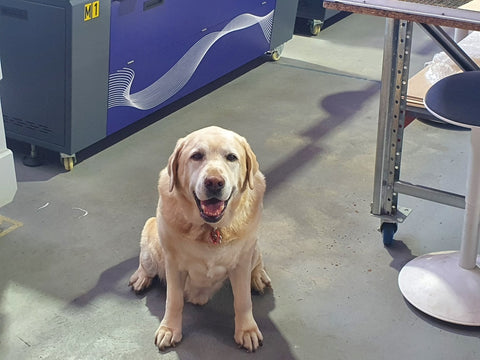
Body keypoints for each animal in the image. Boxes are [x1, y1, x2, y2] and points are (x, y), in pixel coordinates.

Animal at [129, 126, 272, 352]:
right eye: (196, 156)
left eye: (231, 157)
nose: (214, 182)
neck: (211, 229)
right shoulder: (173, 264)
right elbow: (174, 300)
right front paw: (169, 329)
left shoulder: (241, 262)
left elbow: (243, 301)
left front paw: (247, 330)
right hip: (151, 239)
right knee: (146, 264)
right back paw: (141, 277)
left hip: (253, 245)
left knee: (257, 261)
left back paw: (257, 276)